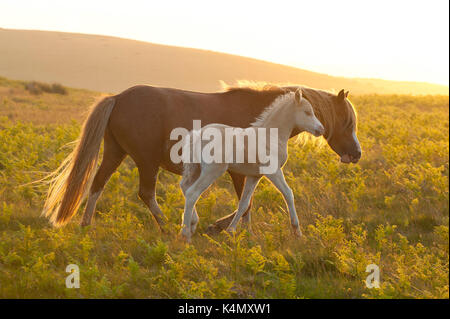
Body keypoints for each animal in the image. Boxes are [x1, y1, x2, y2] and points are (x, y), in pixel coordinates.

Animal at [41, 85, 358, 235]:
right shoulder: (242, 172)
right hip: (146, 161)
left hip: (116, 152)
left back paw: (86, 225)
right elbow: (247, 203)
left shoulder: (248, 172)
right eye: (347, 120)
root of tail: (118, 97)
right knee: (147, 193)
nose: (356, 154)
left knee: (97, 184)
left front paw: (232, 230)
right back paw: (170, 227)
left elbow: (246, 202)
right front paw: (224, 228)